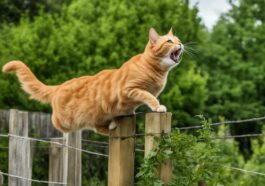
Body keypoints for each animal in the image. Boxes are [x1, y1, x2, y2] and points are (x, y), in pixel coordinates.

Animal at [2, 28, 183, 135]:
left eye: (178, 39)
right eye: (169, 41)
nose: (181, 44)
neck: (155, 71)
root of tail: (60, 86)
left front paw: (132, 111)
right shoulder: (130, 89)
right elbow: (148, 96)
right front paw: (158, 107)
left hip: (98, 115)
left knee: (97, 127)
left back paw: (112, 125)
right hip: (65, 120)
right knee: (57, 123)